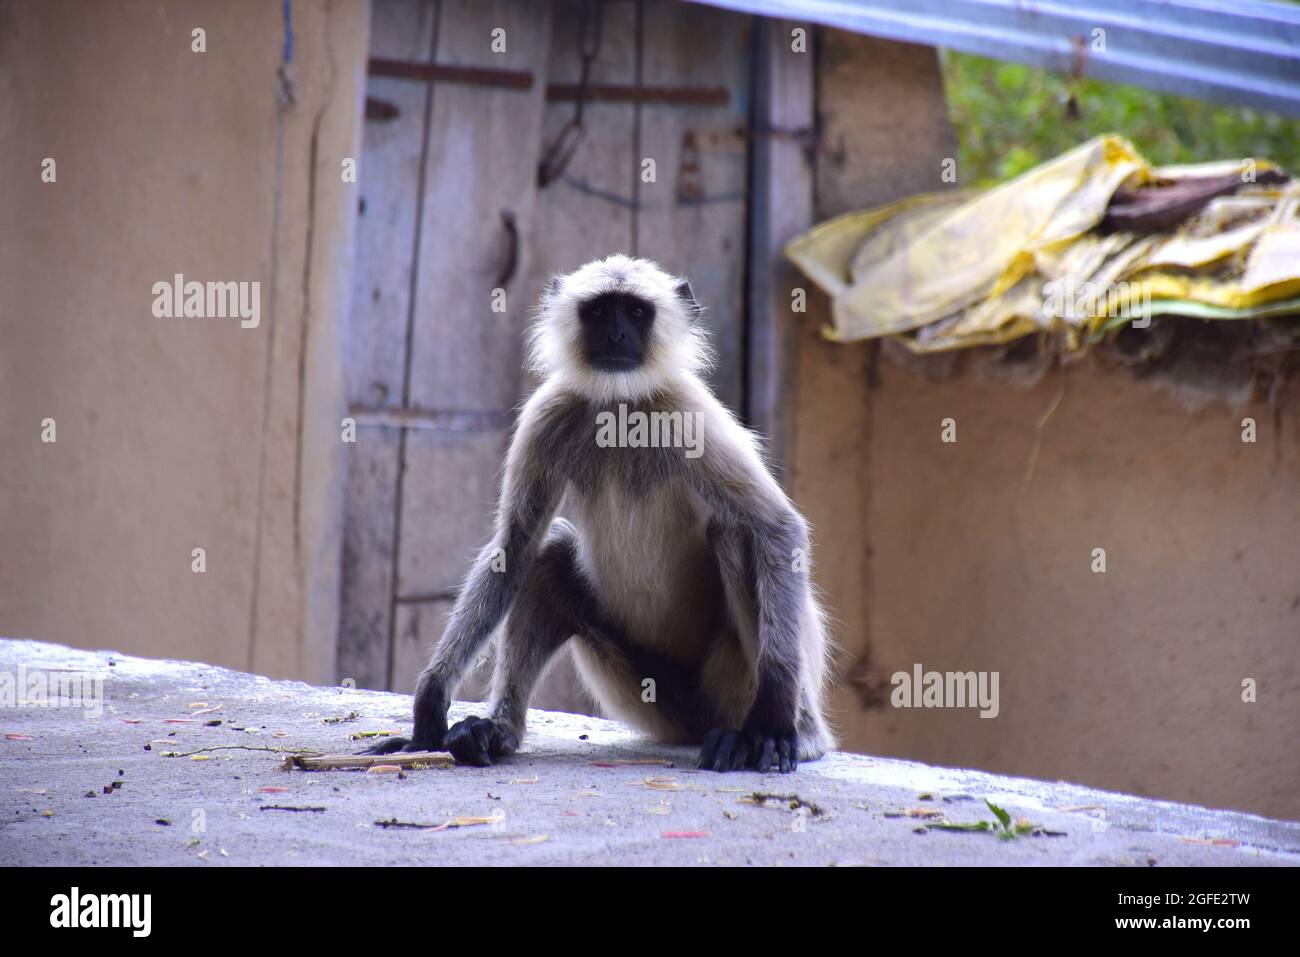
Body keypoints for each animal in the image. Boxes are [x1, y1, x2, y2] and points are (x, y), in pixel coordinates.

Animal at [366, 252, 832, 769]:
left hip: (729, 682)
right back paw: (499, 731)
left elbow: (777, 527)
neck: (622, 408)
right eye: (599, 312)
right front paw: (430, 707)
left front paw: (774, 722)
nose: (615, 337)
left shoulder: (687, 409)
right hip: (649, 694)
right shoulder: (548, 412)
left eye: (635, 312)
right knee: (547, 552)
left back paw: (797, 734)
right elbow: (515, 545)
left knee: (734, 532)